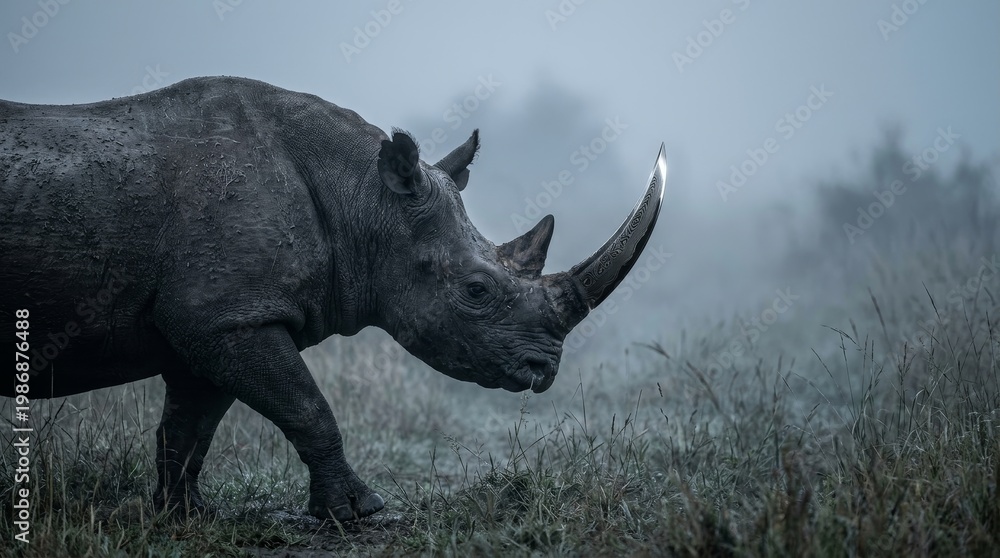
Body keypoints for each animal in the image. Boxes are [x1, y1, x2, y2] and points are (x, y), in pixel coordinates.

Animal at [0, 76, 665, 522]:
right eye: (477, 291)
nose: (543, 370)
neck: (364, 198)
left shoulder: (215, 320)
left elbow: (189, 426)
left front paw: (183, 514)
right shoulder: (228, 319)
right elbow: (306, 406)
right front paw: (360, 511)